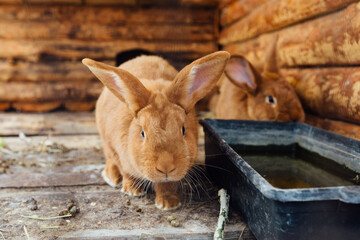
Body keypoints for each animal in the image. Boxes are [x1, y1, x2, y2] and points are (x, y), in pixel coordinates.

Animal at [82, 51, 229, 210]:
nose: (166, 167)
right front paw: (132, 190)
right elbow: (126, 172)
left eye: (183, 129)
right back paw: (112, 177)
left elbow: (167, 185)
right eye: (142, 133)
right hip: (106, 143)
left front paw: (168, 203)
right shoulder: (120, 156)